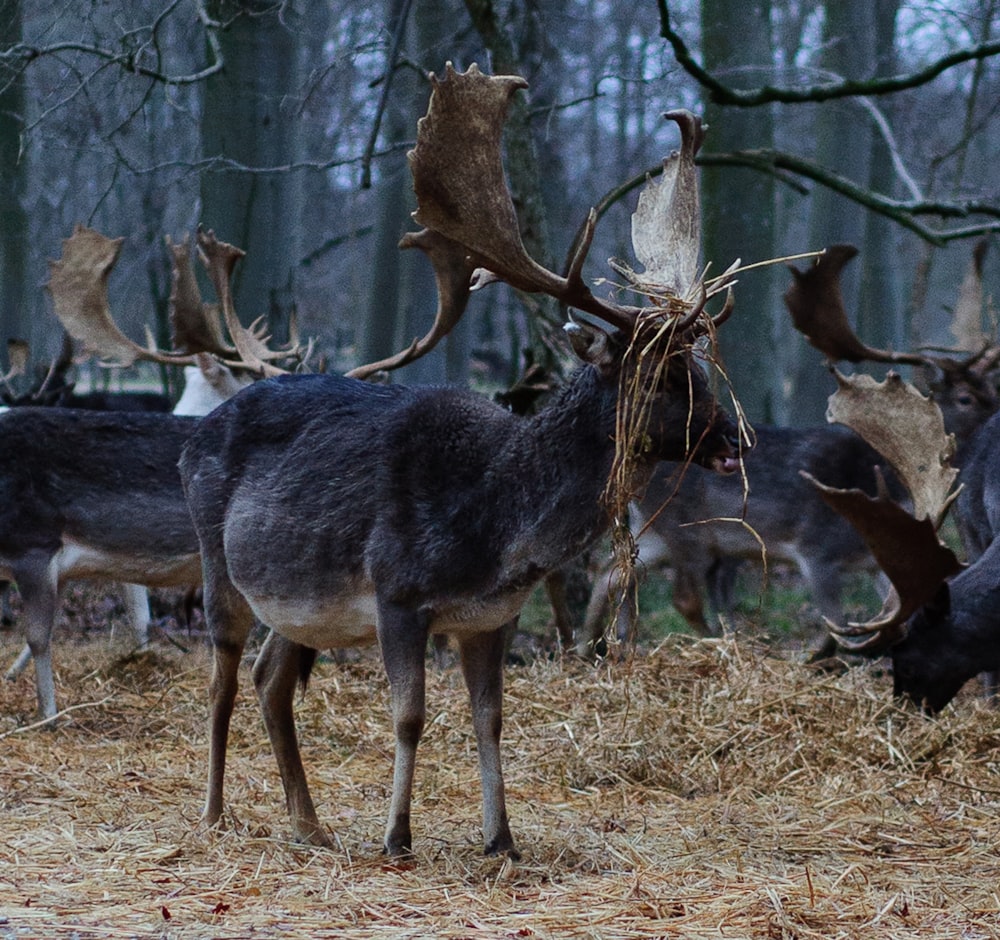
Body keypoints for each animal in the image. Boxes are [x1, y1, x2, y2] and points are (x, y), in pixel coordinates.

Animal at [178, 64, 744, 860]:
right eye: (658, 377)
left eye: (697, 366)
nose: (732, 440)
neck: (497, 529)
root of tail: (191, 437)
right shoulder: (396, 590)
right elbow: (409, 715)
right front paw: (397, 836)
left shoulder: (490, 617)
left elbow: (490, 719)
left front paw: (500, 839)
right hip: (215, 557)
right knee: (222, 679)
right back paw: (213, 813)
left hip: (298, 600)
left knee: (270, 679)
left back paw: (309, 825)